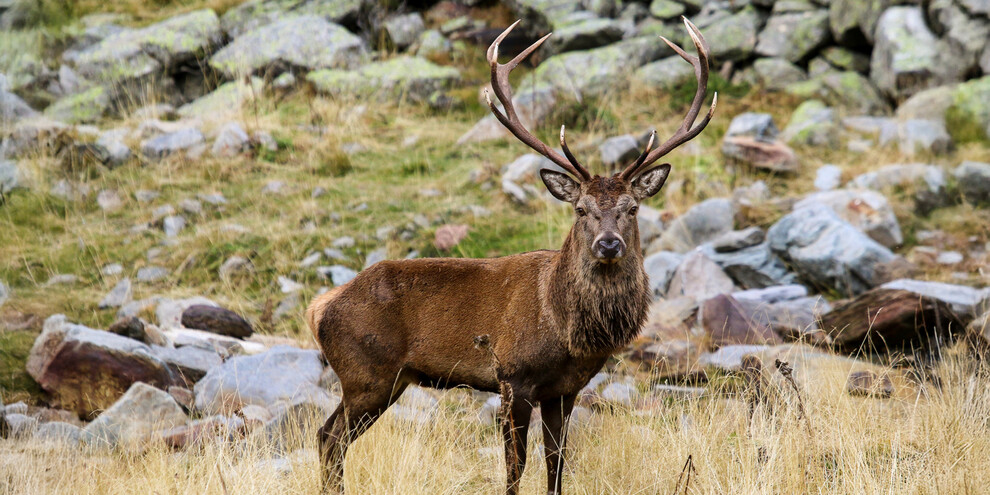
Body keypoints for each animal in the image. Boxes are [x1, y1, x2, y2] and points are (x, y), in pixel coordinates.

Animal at [306, 17, 716, 495]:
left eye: (632, 208)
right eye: (581, 209)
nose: (608, 244)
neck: (563, 328)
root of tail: (318, 308)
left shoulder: (565, 390)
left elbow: (556, 465)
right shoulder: (512, 376)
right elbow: (515, 467)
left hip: (381, 380)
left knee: (328, 436)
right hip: (367, 373)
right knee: (331, 436)